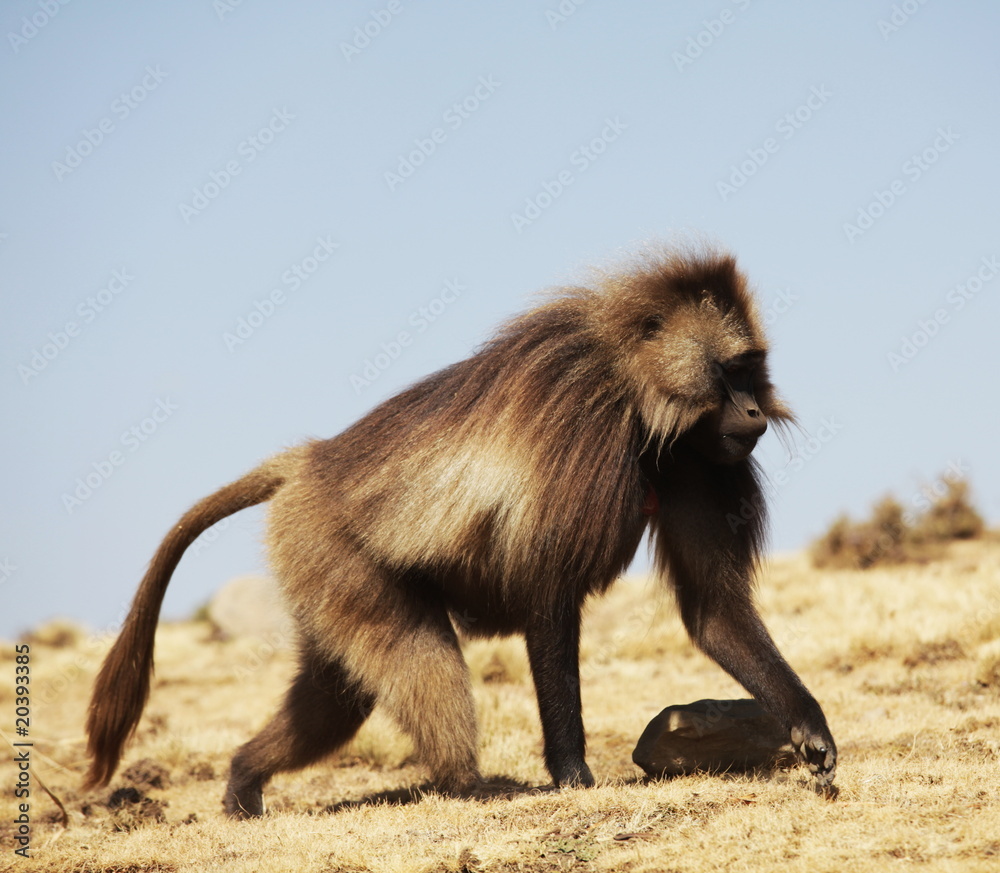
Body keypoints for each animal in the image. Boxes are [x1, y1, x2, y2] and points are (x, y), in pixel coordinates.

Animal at [84, 246, 837, 817]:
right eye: (731, 372)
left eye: (752, 371)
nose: (753, 411)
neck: (638, 397)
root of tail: (309, 461)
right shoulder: (585, 430)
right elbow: (548, 591)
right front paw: (572, 775)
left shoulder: (700, 462)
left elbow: (712, 608)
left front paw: (812, 732)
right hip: (333, 554)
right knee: (422, 661)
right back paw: (473, 786)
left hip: (318, 577)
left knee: (334, 700)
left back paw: (243, 783)